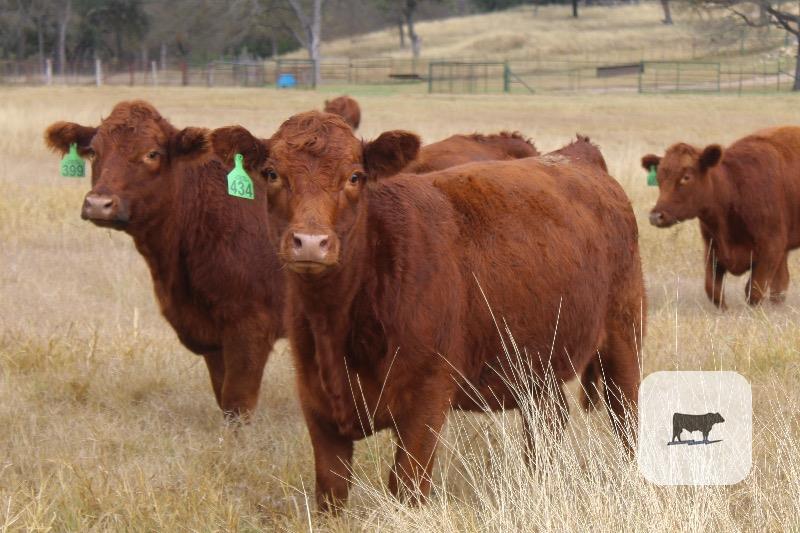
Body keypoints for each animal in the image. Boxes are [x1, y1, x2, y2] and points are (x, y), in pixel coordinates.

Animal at [44, 100, 284, 419]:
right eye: (94, 151)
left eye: (152, 153)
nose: (98, 204)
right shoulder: (211, 337)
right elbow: (222, 396)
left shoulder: (251, 326)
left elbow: (236, 404)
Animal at [644, 126, 800, 308]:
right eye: (659, 178)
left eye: (686, 177)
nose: (656, 216)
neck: (734, 187)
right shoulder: (712, 249)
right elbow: (713, 290)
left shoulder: (771, 250)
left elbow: (753, 292)